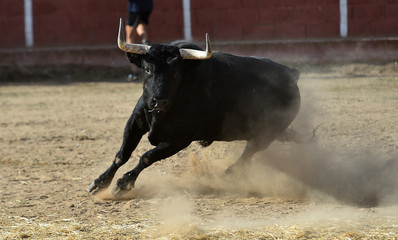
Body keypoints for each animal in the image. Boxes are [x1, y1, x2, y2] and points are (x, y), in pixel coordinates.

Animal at [87, 20, 298, 197]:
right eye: (147, 69)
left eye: (176, 72)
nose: (158, 102)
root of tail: (291, 73)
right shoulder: (136, 121)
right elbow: (122, 154)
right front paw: (99, 183)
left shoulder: (180, 139)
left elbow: (147, 157)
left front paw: (122, 184)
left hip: (267, 134)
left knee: (250, 151)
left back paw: (228, 174)